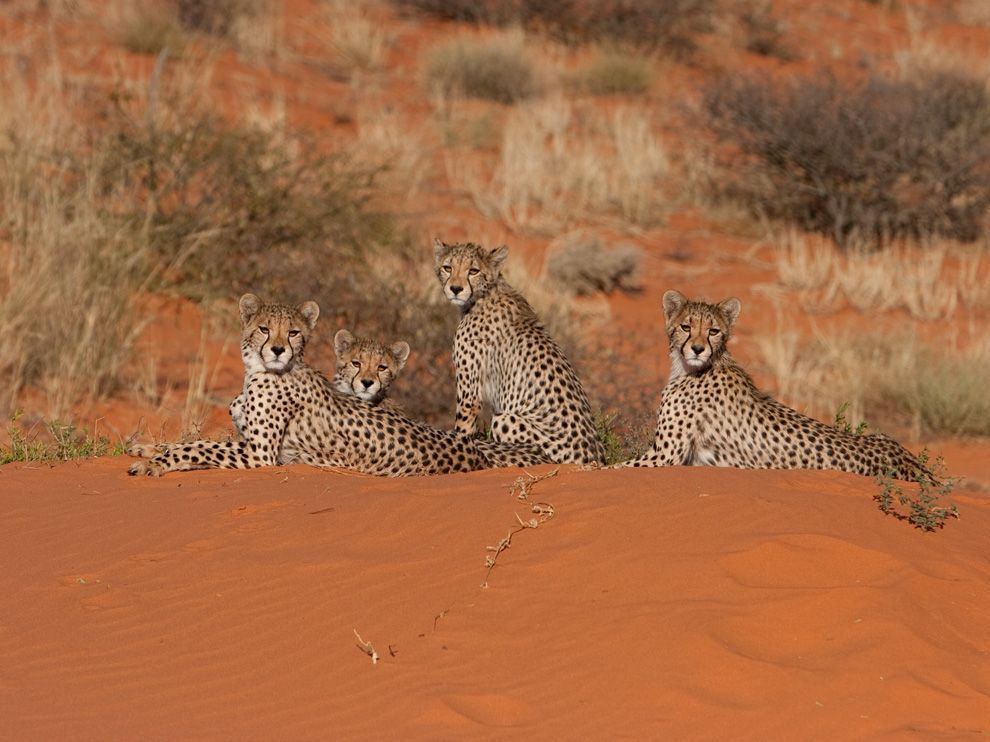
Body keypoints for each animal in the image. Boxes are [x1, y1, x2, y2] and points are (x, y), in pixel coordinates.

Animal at [126, 294, 552, 480]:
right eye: (264, 328)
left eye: (293, 332)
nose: (278, 349)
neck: (261, 371)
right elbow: (190, 441)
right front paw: (146, 448)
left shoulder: (261, 455)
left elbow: (197, 447)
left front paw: (154, 464)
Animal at [438, 241, 608, 468]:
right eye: (447, 268)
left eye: (473, 271)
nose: (455, 289)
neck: (484, 295)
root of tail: (595, 459)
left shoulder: (470, 394)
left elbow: (463, 428)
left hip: (505, 419)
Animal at [624, 290, 932, 482]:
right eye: (686, 327)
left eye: (713, 331)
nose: (698, 349)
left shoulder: (663, 457)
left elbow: (612, 467)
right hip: (884, 436)